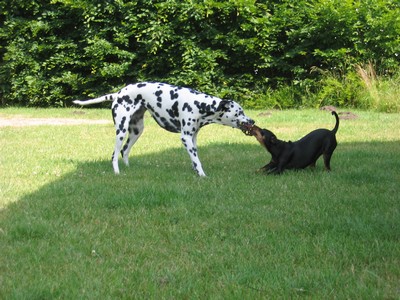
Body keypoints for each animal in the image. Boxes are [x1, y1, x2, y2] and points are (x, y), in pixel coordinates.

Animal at [72, 81, 253, 176]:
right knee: (114, 154)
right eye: (239, 112)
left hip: (136, 131)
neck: (200, 105)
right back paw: (117, 171)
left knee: (124, 151)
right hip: (121, 131)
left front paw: (195, 170)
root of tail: (118, 93)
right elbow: (197, 159)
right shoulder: (185, 137)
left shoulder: (193, 137)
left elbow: (195, 157)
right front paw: (202, 174)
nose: (252, 120)